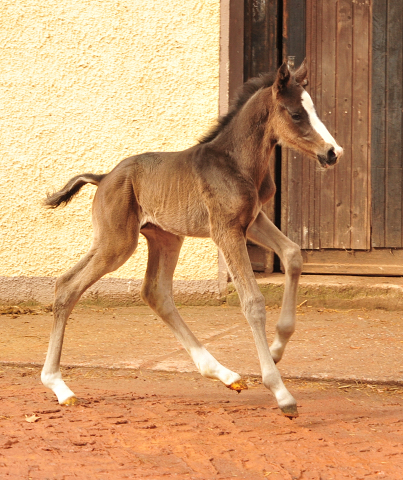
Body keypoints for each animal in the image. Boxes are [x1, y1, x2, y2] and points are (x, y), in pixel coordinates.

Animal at [41, 62, 344, 418]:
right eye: (296, 114)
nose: (332, 152)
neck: (237, 162)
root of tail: (102, 178)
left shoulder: (252, 221)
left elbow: (294, 254)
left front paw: (277, 348)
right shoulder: (226, 230)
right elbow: (253, 302)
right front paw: (281, 391)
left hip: (165, 238)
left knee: (154, 292)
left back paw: (225, 375)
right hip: (117, 242)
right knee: (67, 286)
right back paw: (59, 387)